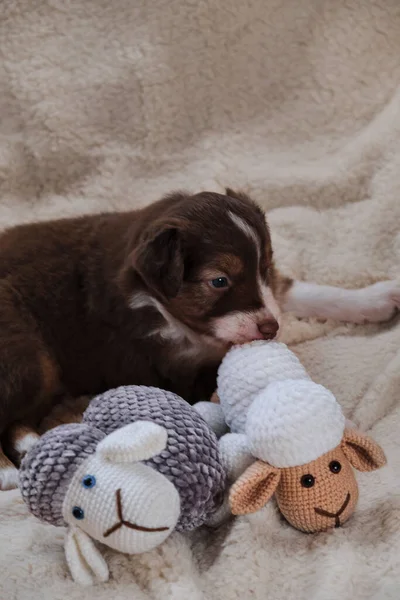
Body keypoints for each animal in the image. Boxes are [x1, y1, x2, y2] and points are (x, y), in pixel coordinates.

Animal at [0, 190, 400, 490]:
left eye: (265, 267)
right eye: (219, 281)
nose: (270, 329)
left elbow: (303, 292)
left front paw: (378, 299)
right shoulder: (175, 372)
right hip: (29, 357)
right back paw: (10, 470)